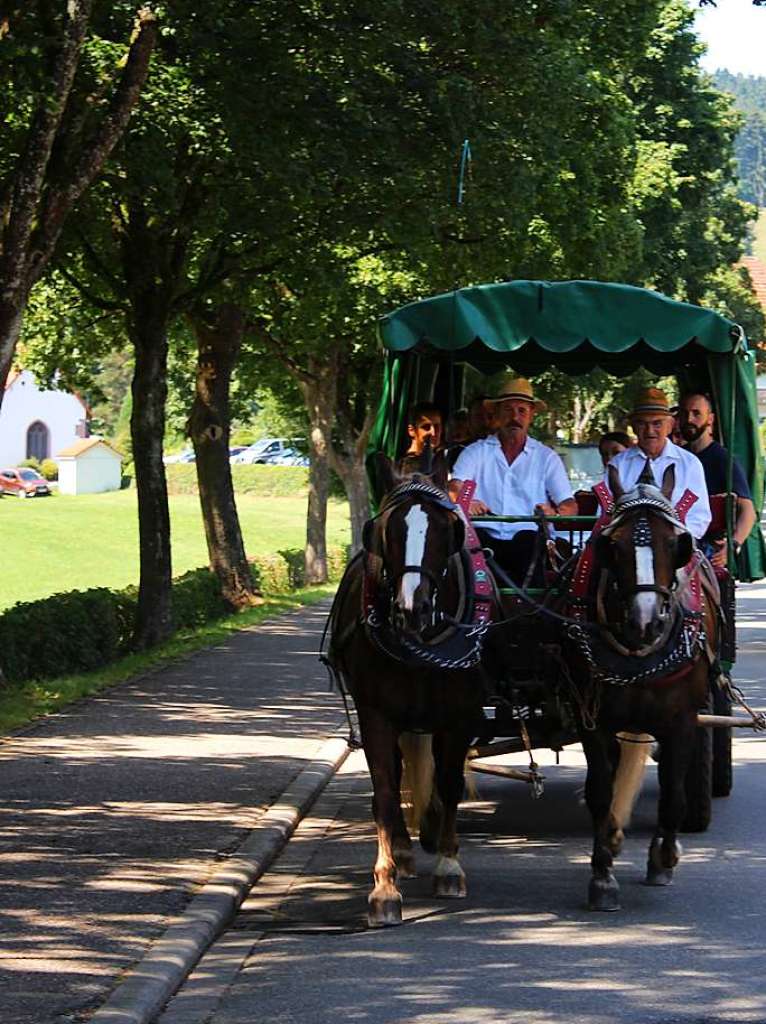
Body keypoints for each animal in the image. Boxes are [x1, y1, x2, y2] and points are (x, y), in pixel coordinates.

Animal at [325, 456, 487, 929]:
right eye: (386, 530)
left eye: (446, 529)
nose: (412, 608)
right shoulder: (376, 713)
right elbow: (384, 790)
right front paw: (384, 887)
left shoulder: (461, 713)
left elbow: (449, 782)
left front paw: (449, 865)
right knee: (398, 776)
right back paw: (402, 847)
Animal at [561, 464, 716, 913]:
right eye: (611, 545)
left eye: (676, 543)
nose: (644, 622)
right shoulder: (592, 718)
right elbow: (600, 790)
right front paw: (602, 873)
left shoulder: (683, 720)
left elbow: (673, 792)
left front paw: (663, 857)